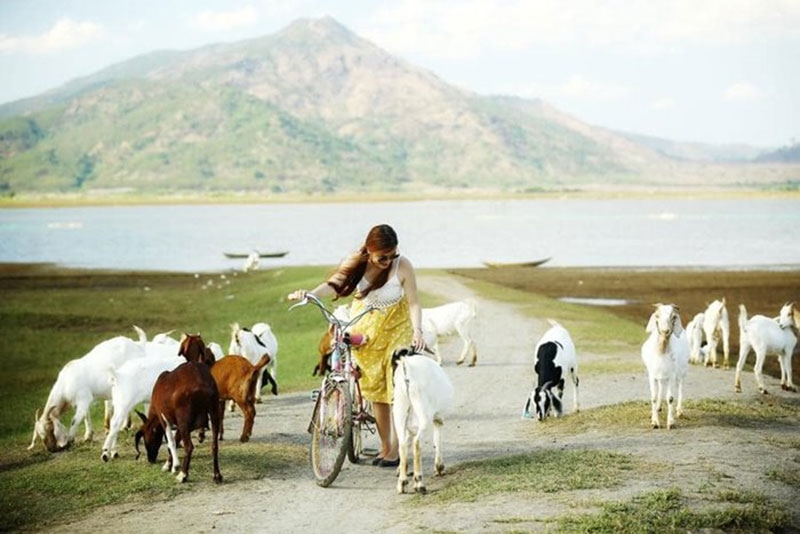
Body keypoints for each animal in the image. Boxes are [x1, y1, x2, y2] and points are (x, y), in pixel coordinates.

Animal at [390, 350, 454, 496]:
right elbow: (437, 440)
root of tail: (408, 369)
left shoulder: (410, 428)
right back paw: (419, 483)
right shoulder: (438, 418)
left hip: (399, 410)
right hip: (423, 413)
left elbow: (407, 443)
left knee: (402, 444)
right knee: (417, 443)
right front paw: (439, 467)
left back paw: (402, 483)